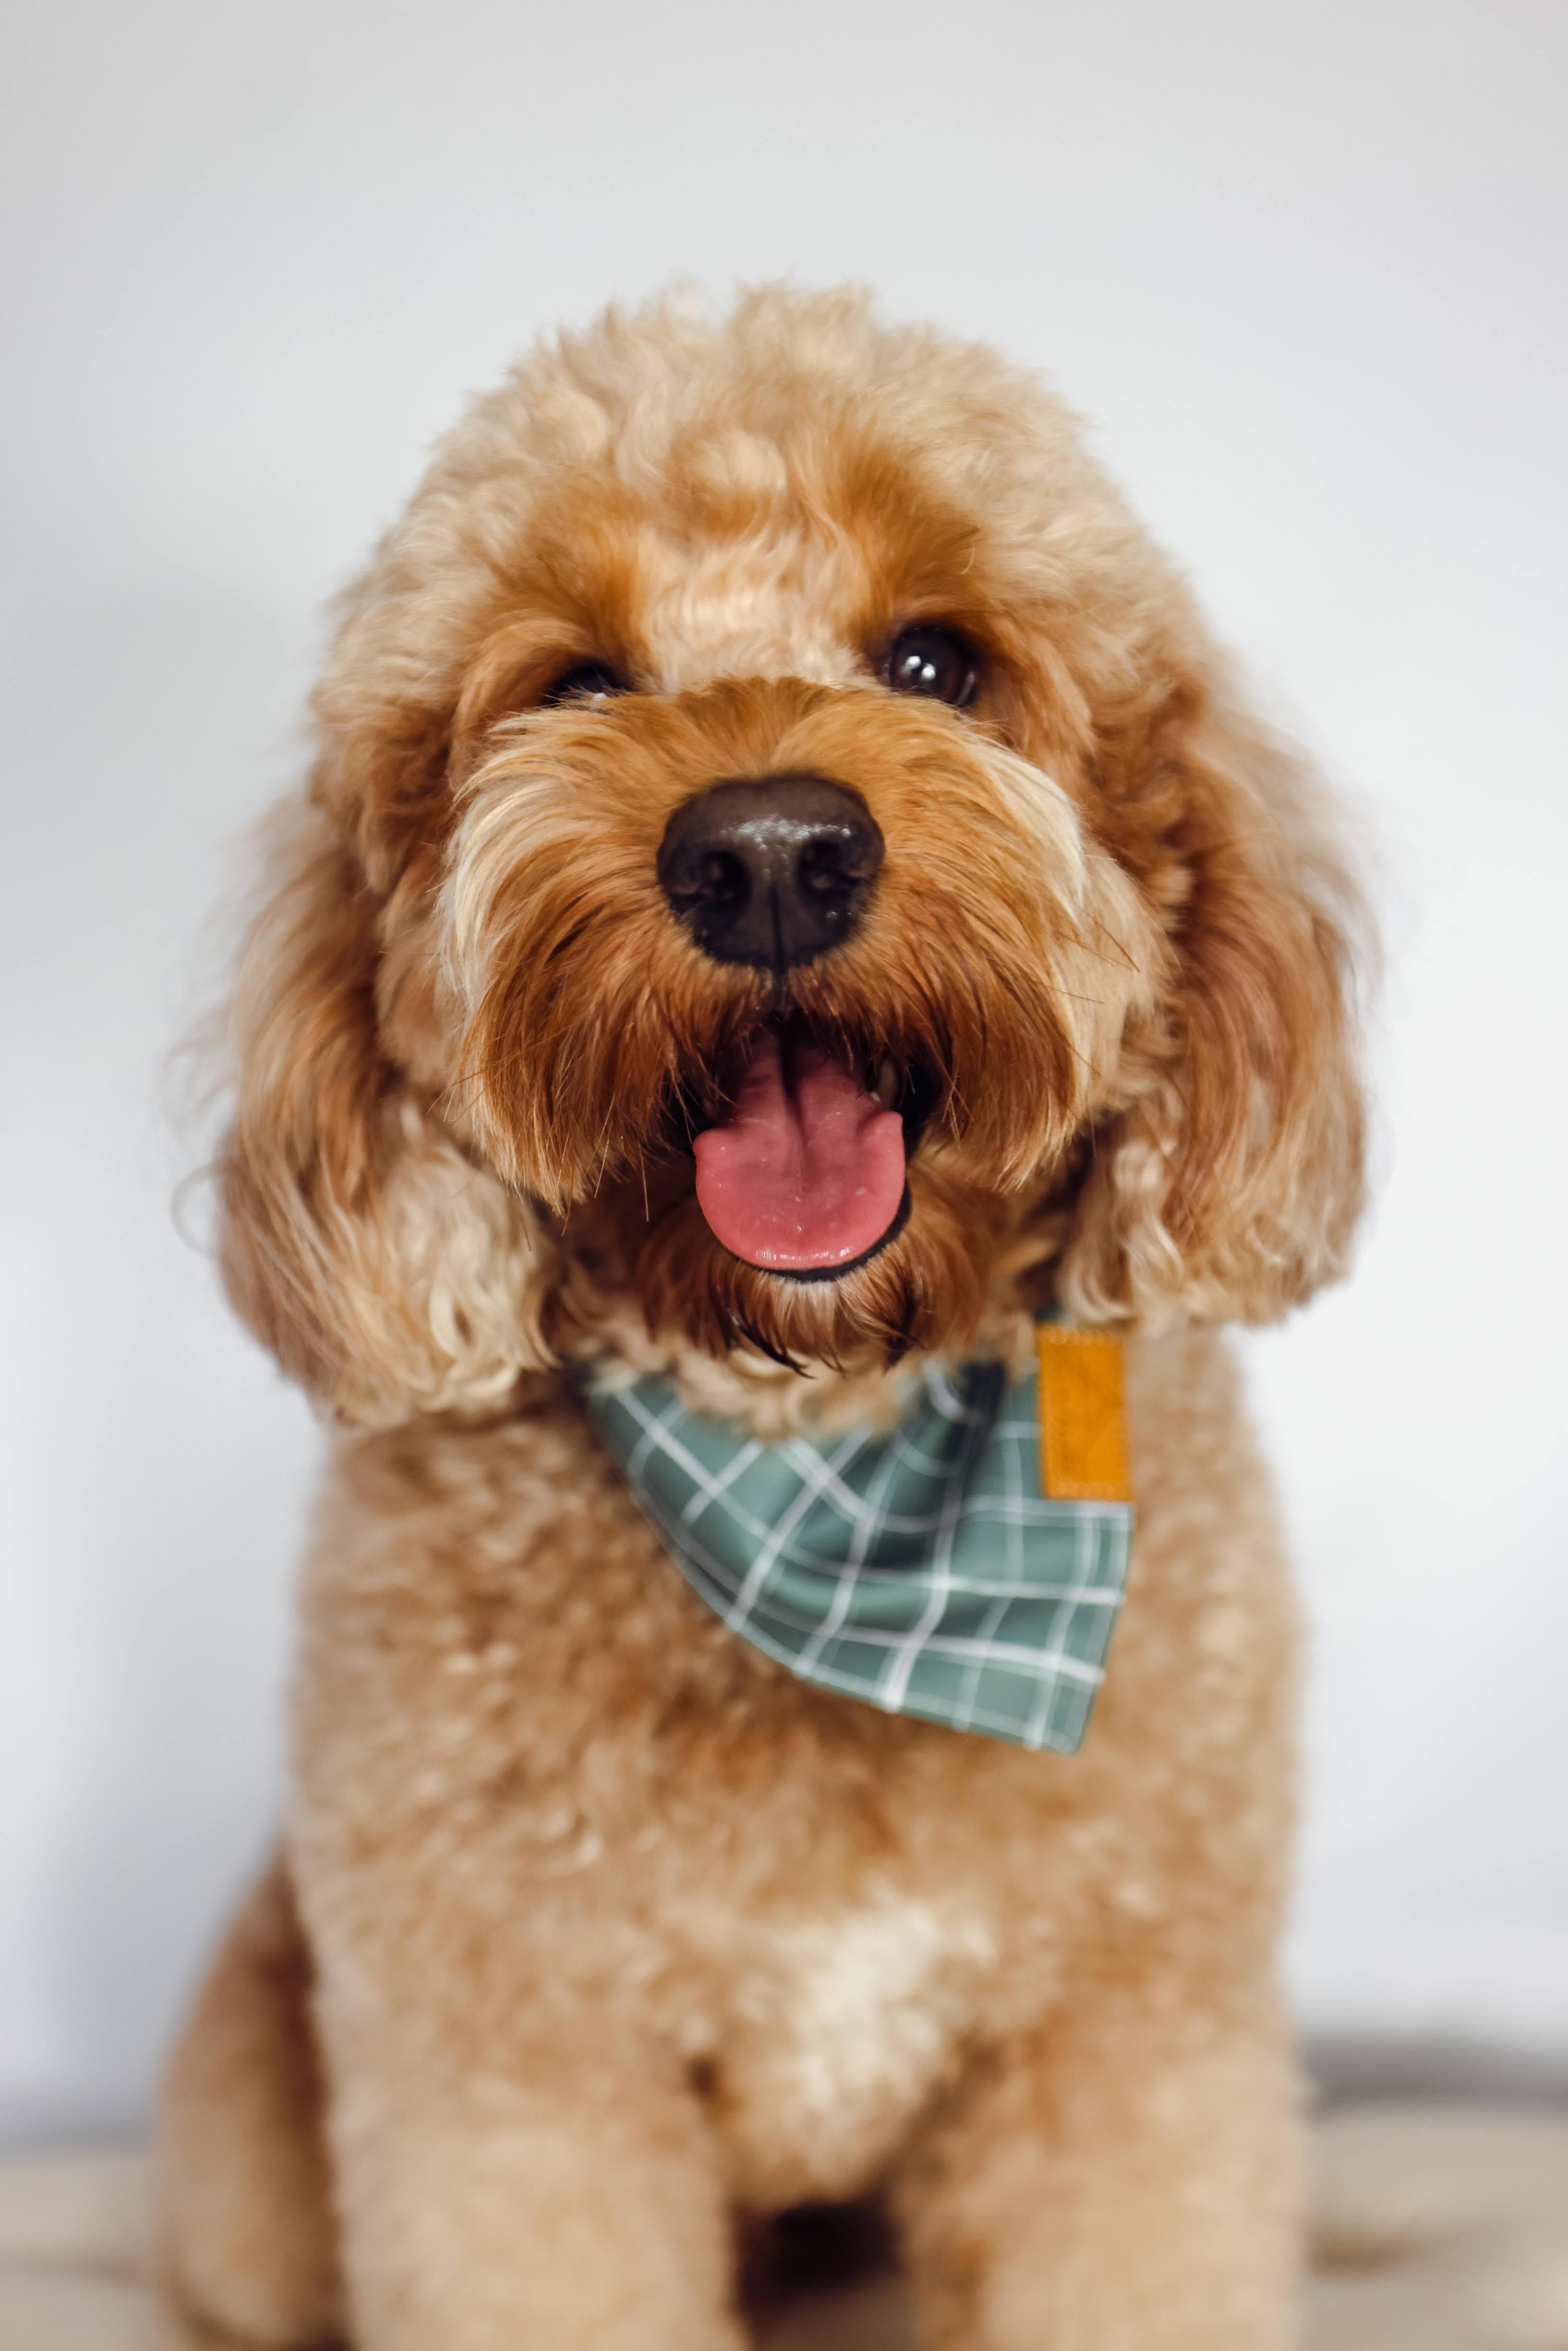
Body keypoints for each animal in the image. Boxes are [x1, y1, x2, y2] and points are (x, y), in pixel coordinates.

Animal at [159, 286, 1366, 2350]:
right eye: (572, 683)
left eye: (936, 659)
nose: (772, 853)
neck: (822, 1470)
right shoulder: (512, 2066)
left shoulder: (1124, 2031)